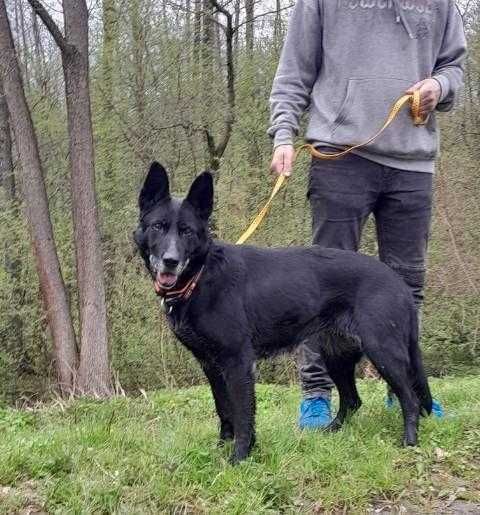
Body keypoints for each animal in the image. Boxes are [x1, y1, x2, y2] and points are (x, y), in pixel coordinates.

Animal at [133, 163, 434, 466]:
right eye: (158, 227)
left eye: (187, 231)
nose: (170, 261)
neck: (202, 275)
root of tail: (397, 281)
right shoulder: (210, 365)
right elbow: (224, 409)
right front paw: (222, 447)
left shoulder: (237, 361)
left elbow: (243, 413)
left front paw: (240, 456)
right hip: (336, 354)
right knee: (352, 400)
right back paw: (329, 432)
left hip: (383, 351)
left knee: (410, 399)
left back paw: (409, 443)